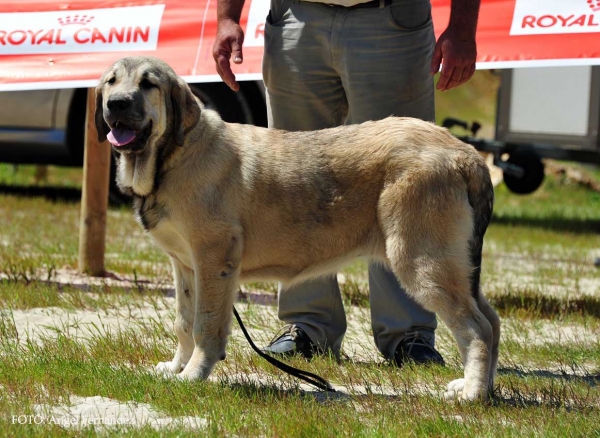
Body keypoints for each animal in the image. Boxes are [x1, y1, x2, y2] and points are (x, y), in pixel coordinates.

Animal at [96, 55, 500, 400]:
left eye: (148, 84)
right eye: (111, 82)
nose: (116, 104)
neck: (172, 157)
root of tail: (464, 153)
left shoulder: (213, 259)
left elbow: (205, 325)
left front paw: (194, 375)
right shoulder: (185, 265)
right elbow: (183, 321)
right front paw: (176, 367)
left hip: (421, 260)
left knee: (476, 328)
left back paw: (472, 394)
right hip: (457, 265)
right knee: (492, 322)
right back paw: (482, 388)